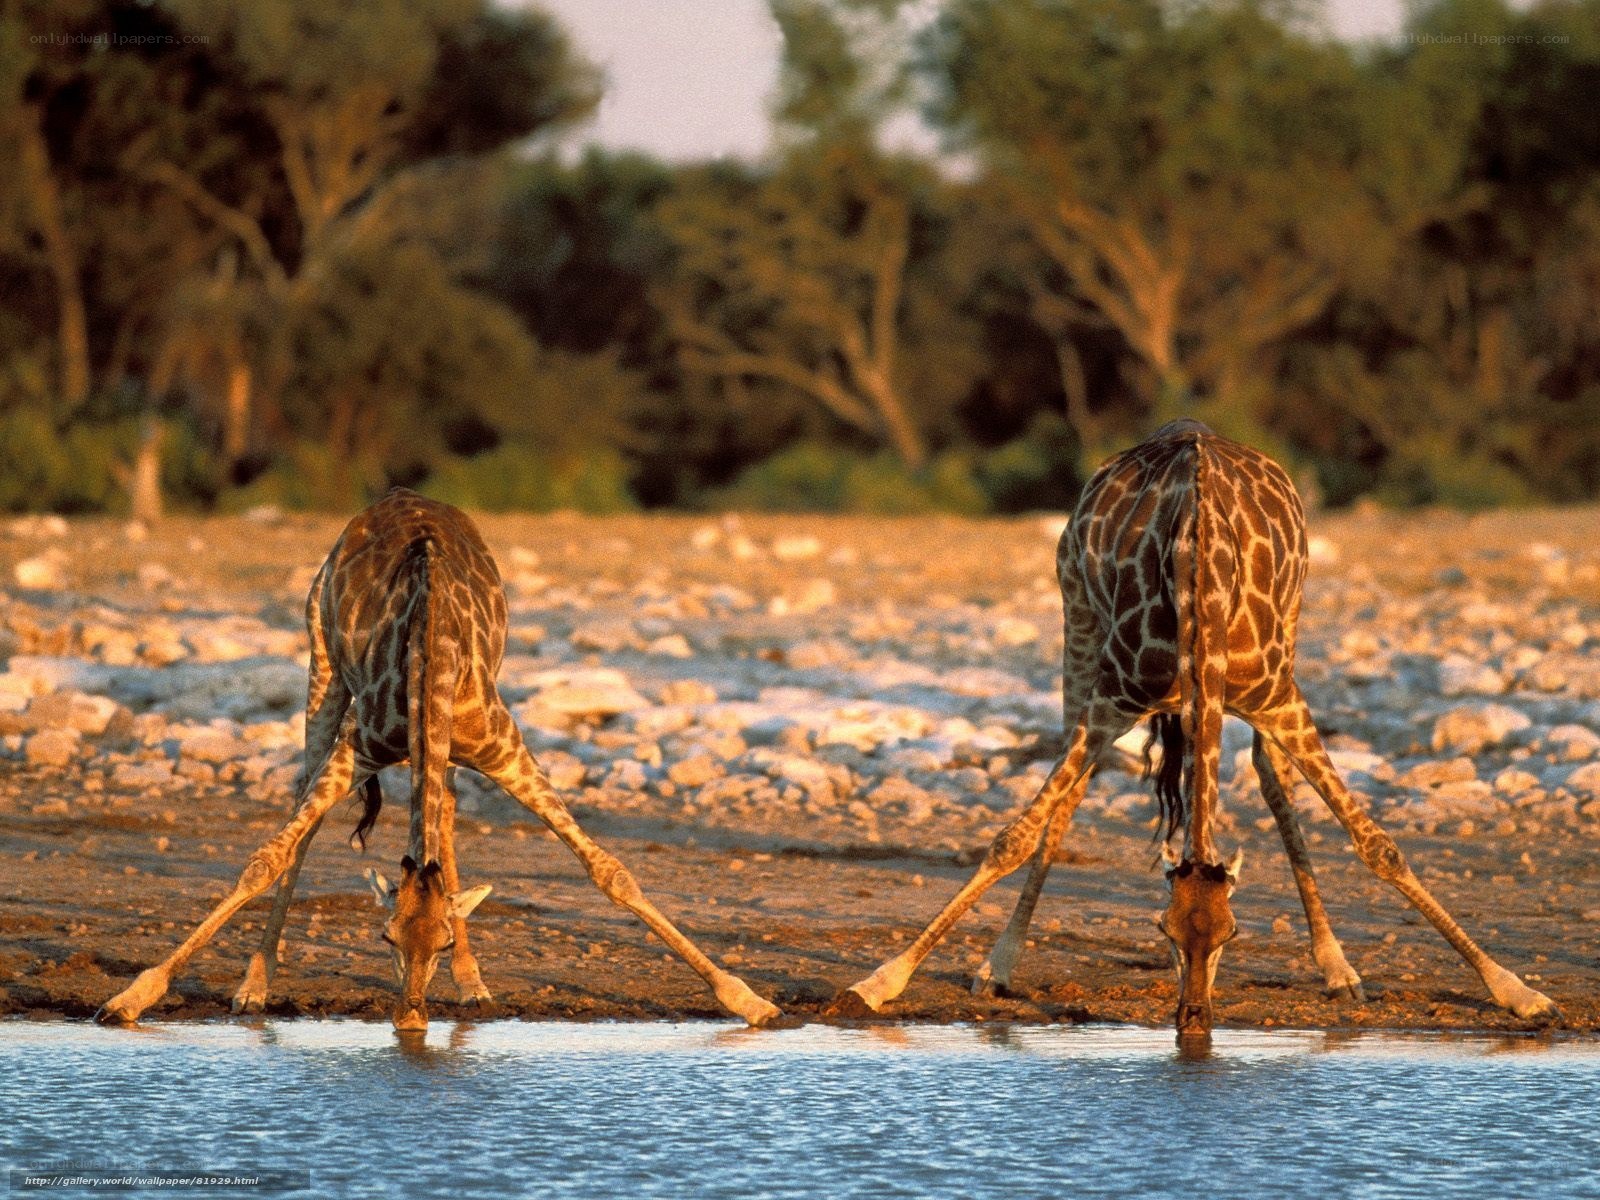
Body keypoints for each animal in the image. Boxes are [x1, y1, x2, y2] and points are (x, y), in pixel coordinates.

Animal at [97, 488, 781, 1030]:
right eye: (384, 936)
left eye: (444, 940)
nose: (410, 1019)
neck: (432, 654)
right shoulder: (360, 746)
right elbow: (266, 859)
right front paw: (131, 999)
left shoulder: (505, 747)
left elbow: (610, 872)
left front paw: (749, 1001)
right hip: (322, 661)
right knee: (305, 807)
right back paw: (254, 987)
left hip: (440, 742)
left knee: (445, 814)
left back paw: (475, 985)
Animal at [829, 420, 1557, 1034]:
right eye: (1163, 931)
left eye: (1233, 934)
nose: (1194, 1022)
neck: (1201, 581)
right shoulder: (1111, 699)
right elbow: (1015, 835)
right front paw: (880, 981)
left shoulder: (1279, 697)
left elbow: (1379, 846)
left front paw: (1518, 990)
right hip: (1078, 623)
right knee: (1069, 792)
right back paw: (999, 964)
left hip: (1291, 633)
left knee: (1270, 775)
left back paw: (1337, 968)